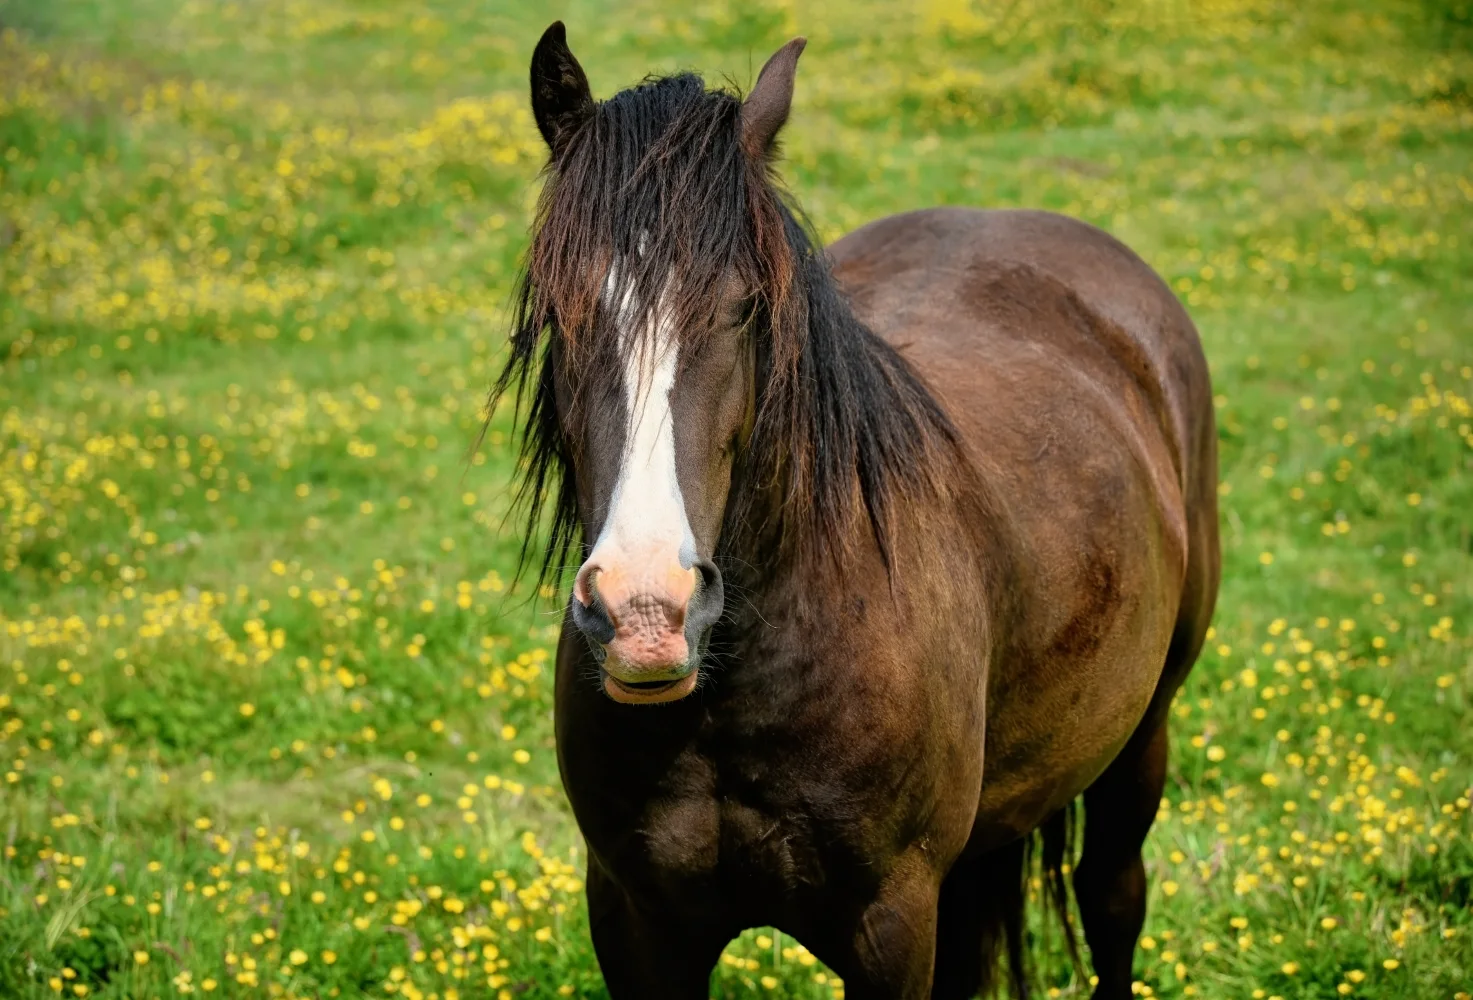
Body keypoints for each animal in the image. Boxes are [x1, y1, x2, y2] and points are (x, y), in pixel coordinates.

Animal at [492, 22, 1220, 1000]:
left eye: (744, 307)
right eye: (558, 311)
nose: (645, 612)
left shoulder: (890, 924)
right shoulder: (636, 923)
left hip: (1140, 739)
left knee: (1111, 902)